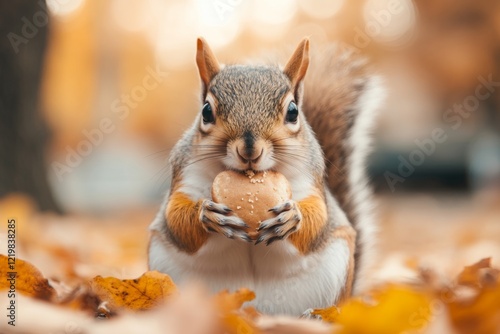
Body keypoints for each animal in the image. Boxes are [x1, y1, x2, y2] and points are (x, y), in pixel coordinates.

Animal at [146, 37, 384, 316]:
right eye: (206, 111)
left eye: (293, 111)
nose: (249, 150)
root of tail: (258, 313)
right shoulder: (184, 174)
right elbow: (176, 219)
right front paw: (207, 213)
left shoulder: (311, 180)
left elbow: (318, 217)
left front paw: (293, 217)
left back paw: (316, 316)